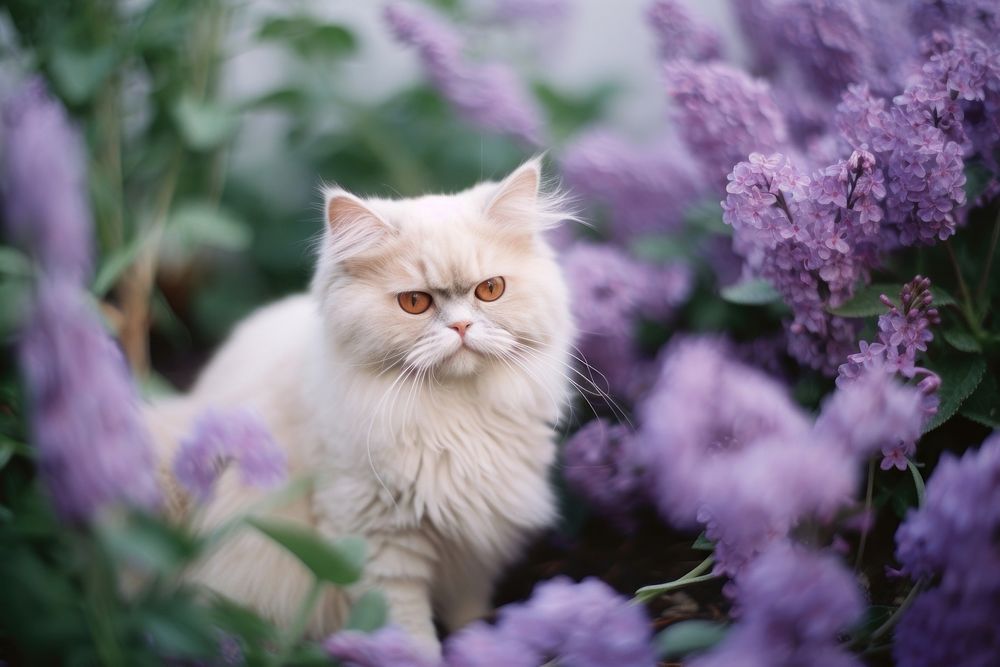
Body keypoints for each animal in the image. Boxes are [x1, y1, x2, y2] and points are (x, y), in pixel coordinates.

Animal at [144, 158, 576, 656]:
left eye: (490, 290)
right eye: (415, 302)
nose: (462, 327)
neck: (453, 414)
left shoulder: (477, 542)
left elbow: (469, 608)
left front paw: (481, 644)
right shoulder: (376, 541)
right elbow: (410, 635)